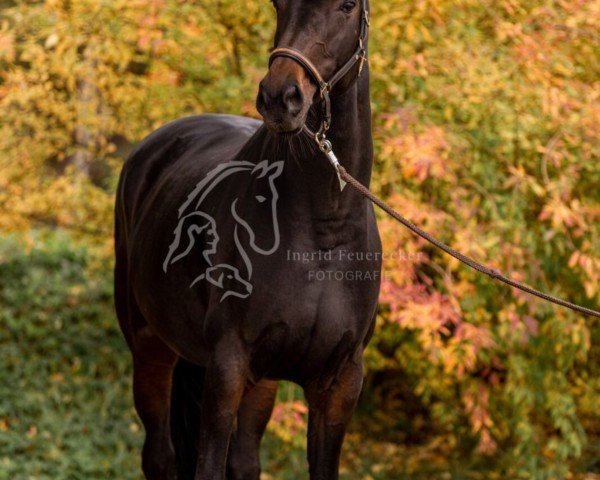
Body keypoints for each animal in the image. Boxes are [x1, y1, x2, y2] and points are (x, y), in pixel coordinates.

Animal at [113, 1, 380, 478]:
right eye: (279, 5)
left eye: (347, 6)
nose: (280, 97)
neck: (323, 234)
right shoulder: (228, 368)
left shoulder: (339, 383)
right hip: (150, 348)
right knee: (159, 456)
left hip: (263, 379)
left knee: (244, 461)